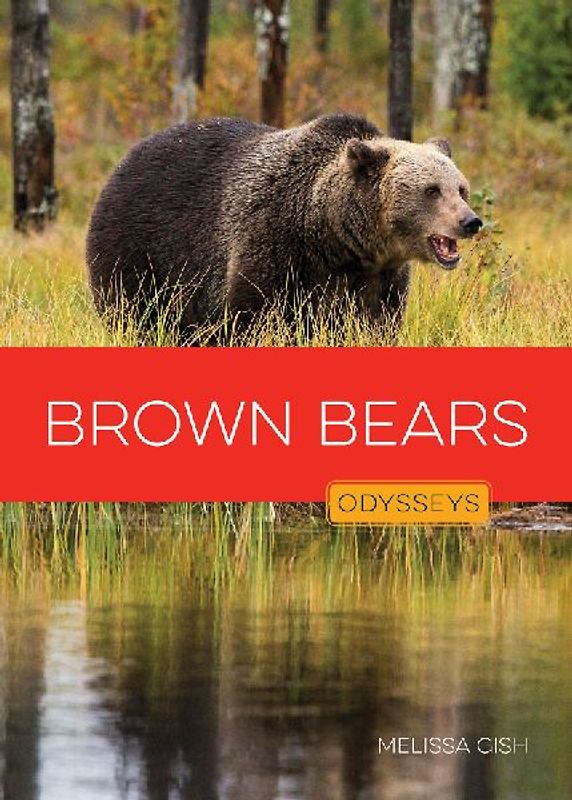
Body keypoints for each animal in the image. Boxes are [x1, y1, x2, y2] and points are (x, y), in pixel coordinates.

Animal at [86, 113, 482, 343]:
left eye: (460, 188)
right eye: (432, 190)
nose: (470, 221)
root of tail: (125, 159)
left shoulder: (378, 278)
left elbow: (376, 323)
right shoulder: (276, 243)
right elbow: (255, 314)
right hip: (142, 250)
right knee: (136, 312)